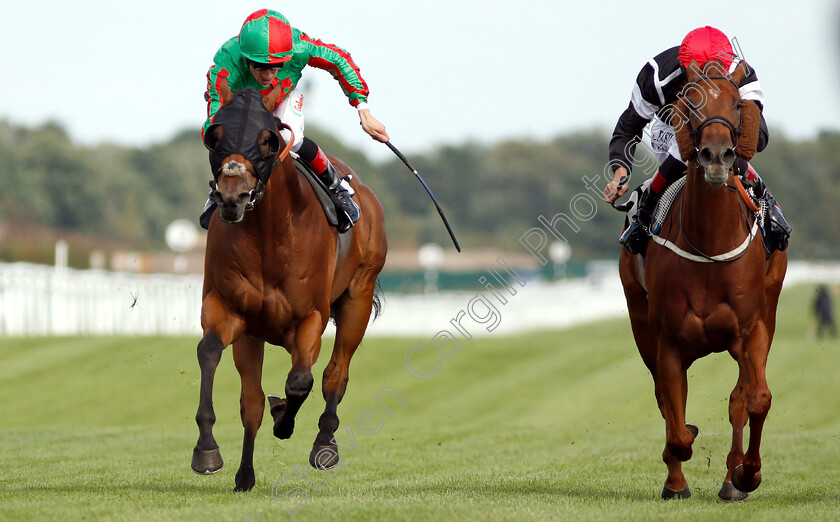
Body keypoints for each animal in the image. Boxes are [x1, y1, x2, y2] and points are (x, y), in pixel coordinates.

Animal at [190, 87, 388, 490]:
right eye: (216, 137)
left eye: (266, 140)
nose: (232, 197)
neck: (269, 235)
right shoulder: (230, 310)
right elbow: (211, 354)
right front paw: (208, 451)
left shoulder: (310, 317)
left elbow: (301, 381)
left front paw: (284, 420)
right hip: (253, 333)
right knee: (251, 400)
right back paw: (245, 475)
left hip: (358, 297)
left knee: (335, 373)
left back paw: (325, 443)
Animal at [616, 61, 788, 500]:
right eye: (690, 103)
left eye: (737, 104)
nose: (716, 155)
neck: (710, 245)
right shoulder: (668, 341)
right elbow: (676, 422)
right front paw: (677, 476)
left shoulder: (752, 330)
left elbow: (755, 399)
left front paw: (747, 474)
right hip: (639, 318)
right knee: (666, 399)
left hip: (770, 308)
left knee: (738, 399)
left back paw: (732, 479)